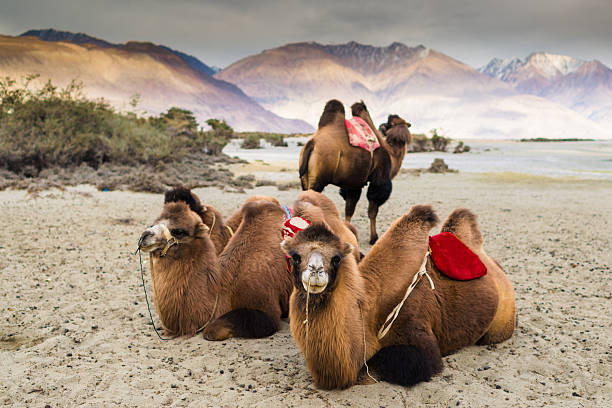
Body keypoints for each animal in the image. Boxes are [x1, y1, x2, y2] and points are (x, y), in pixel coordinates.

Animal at [139, 187, 292, 338]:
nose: (144, 236)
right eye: (153, 224)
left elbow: (212, 330)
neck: (221, 289)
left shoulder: (265, 309)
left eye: (179, 231)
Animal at [282, 206, 516, 388]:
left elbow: (389, 363)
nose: (315, 270)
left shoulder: (417, 331)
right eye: (295, 256)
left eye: (336, 258)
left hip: (502, 321)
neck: (369, 317)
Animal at [298, 100, 412, 244]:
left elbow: (349, 209)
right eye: (392, 123)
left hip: (305, 178)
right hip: (319, 179)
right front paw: (373, 238)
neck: (391, 153)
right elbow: (372, 210)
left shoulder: (352, 183)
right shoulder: (378, 180)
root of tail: (312, 144)